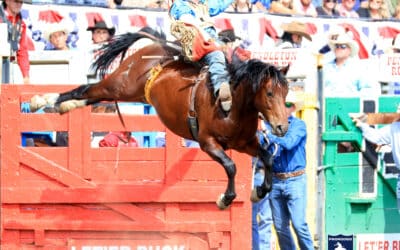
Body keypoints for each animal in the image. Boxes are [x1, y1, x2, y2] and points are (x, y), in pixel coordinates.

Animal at [29, 26, 290, 209]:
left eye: (286, 92)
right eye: (269, 93)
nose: (281, 127)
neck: (233, 105)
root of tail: (155, 46)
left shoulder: (245, 143)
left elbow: (268, 157)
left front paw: (258, 191)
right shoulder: (207, 143)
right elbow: (231, 166)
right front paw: (225, 199)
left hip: (127, 92)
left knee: (91, 95)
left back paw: (64, 105)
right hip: (120, 84)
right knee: (87, 88)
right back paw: (43, 100)